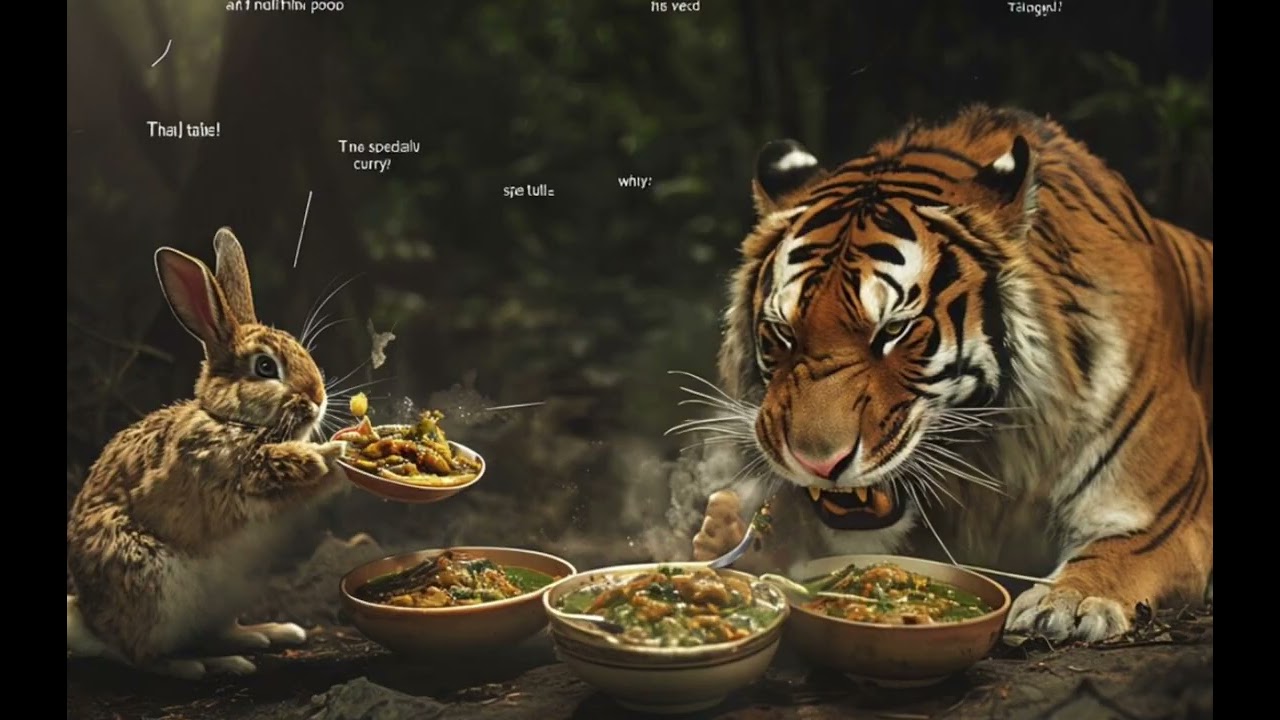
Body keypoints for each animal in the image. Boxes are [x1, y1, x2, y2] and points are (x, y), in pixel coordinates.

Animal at [66, 227, 351, 680]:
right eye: (265, 368)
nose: (318, 397)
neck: (230, 417)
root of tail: (89, 620)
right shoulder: (227, 475)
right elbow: (282, 474)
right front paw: (335, 451)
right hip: (152, 588)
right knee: (138, 655)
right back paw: (203, 665)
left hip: (236, 588)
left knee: (214, 630)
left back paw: (268, 633)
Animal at [690, 105, 1212, 643]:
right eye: (783, 332)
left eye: (893, 330)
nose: (816, 463)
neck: (991, 466)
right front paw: (728, 537)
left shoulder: (1164, 519)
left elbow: (1113, 552)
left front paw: (1067, 601)